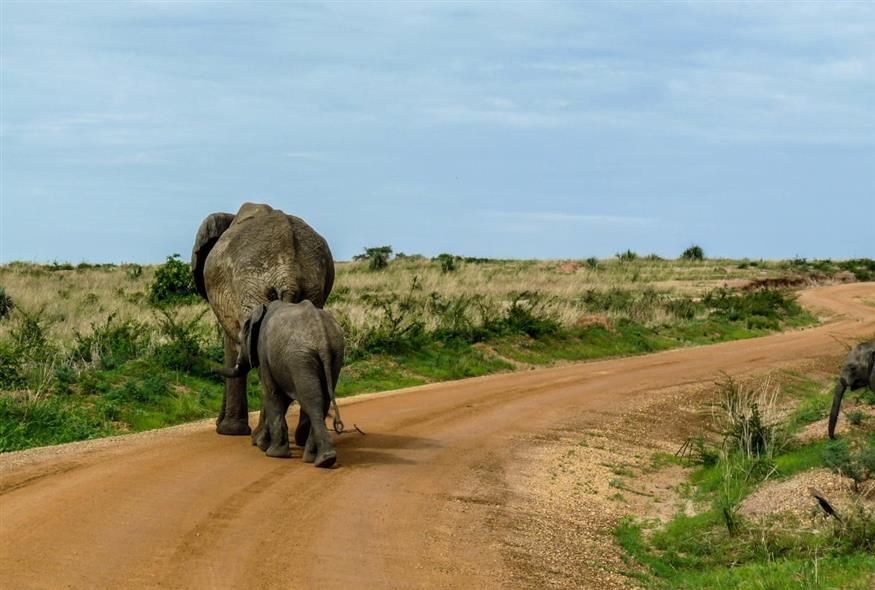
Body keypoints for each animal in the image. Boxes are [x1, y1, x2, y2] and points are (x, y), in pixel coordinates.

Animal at [192, 204, 336, 440]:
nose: (216, 423)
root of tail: (288, 274)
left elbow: (232, 347)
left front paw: (229, 431)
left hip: (252, 285)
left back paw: (262, 438)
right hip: (310, 287)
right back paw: (301, 436)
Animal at [216, 302, 346, 470]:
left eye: (241, 339)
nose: (211, 369)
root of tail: (321, 336)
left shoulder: (264, 354)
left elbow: (272, 393)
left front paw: (273, 453)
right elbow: (283, 398)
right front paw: (262, 445)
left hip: (299, 358)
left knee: (311, 400)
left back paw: (322, 459)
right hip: (335, 354)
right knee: (323, 400)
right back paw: (319, 459)